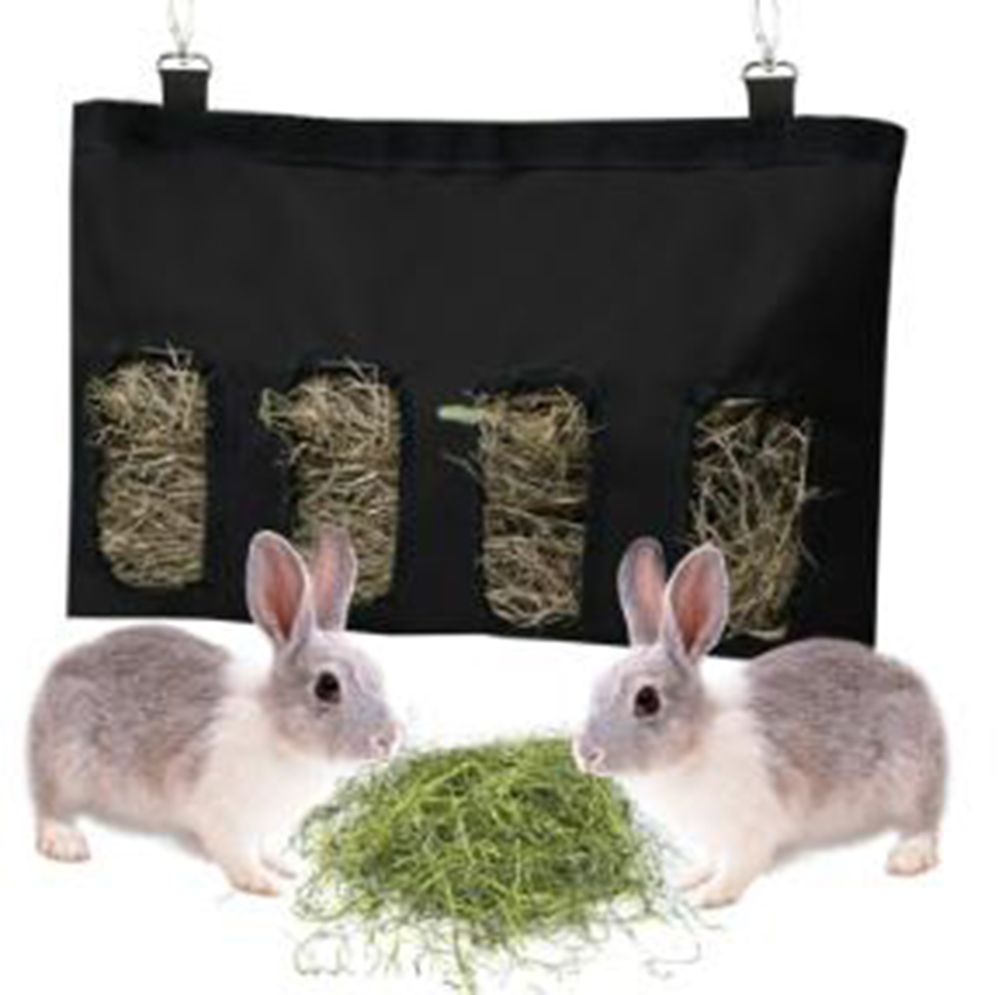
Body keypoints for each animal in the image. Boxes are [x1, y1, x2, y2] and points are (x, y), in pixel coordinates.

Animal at [28, 527, 403, 896]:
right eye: (327, 686)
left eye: (378, 672)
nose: (389, 739)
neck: (280, 730)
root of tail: (55, 677)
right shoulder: (220, 814)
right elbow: (235, 854)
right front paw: (262, 883)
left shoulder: (265, 825)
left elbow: (265, 848)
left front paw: (286, 868)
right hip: (67, 760)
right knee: (50, 806)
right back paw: (65, 843)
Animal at [572, 538, 947, 909]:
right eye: (596, 685)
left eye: (647, 700)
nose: (585, 754)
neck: (694, 743)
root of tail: (918, 689)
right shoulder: (710, 836)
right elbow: (709, 859)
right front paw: (687, 879)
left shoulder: (752, 827)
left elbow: (739, 866)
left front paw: (709, 896)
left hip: (909, 773)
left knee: (924, 820)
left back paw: (908, 857)